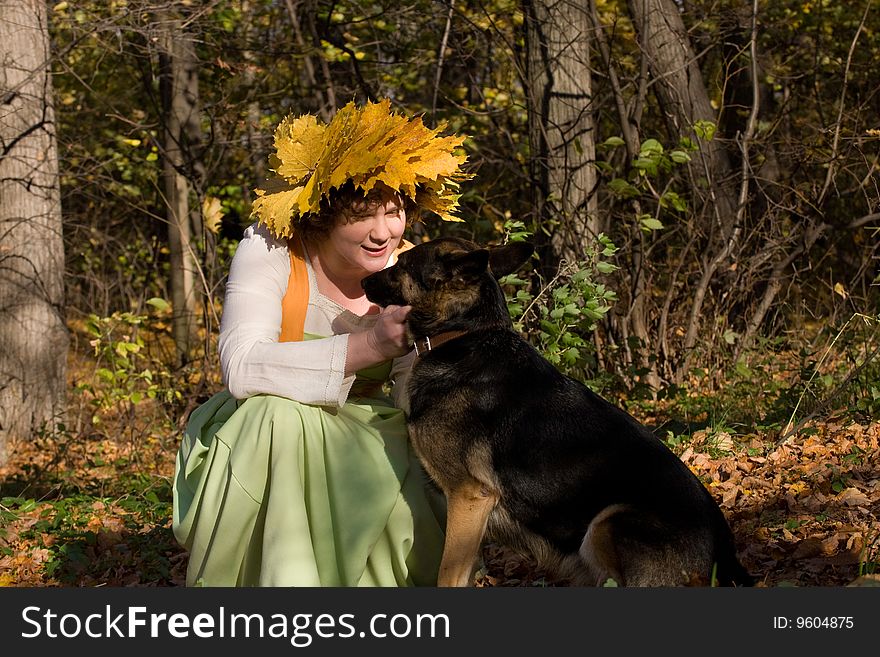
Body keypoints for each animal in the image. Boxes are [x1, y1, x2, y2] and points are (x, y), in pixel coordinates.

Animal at [360, 238, 752, 588]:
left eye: (403, 264)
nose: (362, 282)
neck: (462, 336)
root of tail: (729, 559)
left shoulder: (469, 496)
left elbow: (448, 575)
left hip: (607, 521)